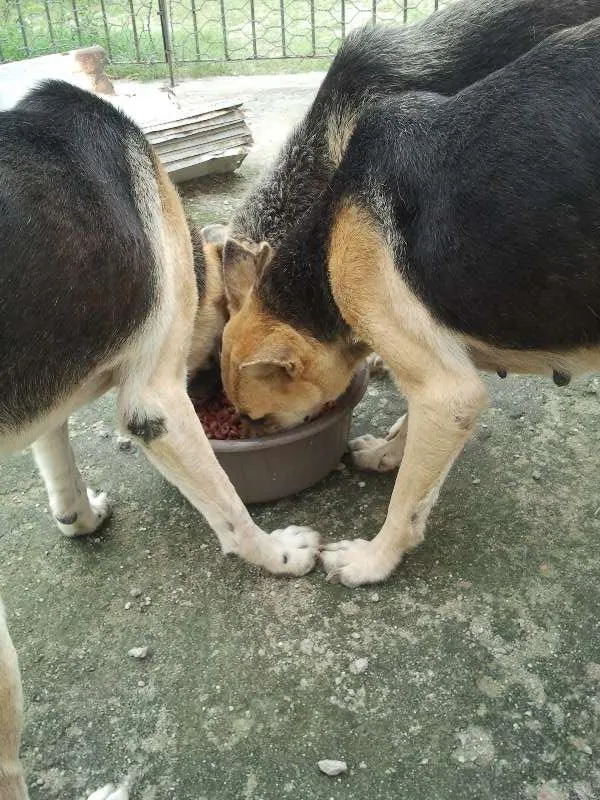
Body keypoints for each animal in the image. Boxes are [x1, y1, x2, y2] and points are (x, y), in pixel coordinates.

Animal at [0, 79, 318, 800]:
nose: (226, 406)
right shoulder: (160, 405)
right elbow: (232, 513)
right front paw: (280, 555)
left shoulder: (48, 387)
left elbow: (57, 455)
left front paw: (81, 518)